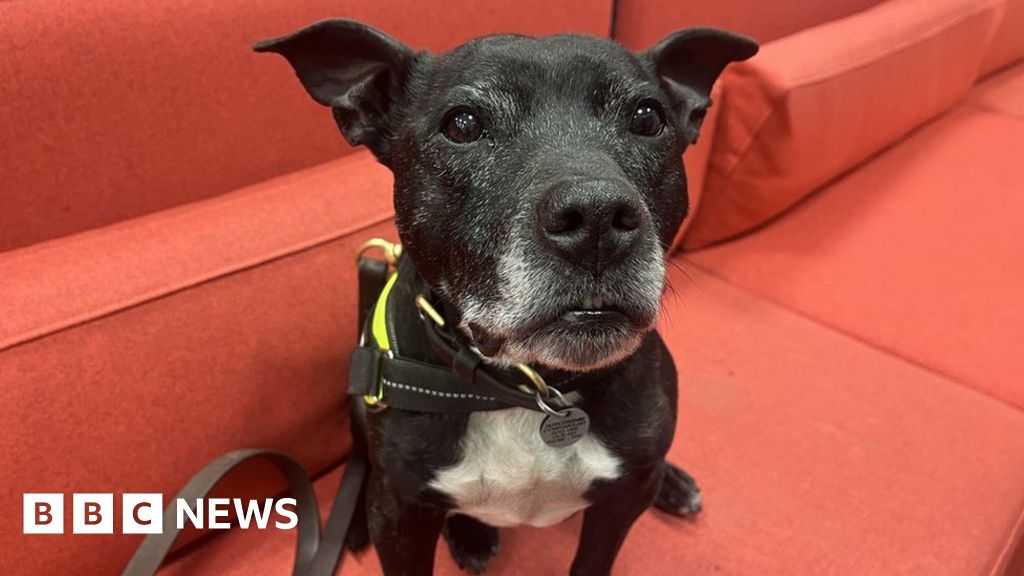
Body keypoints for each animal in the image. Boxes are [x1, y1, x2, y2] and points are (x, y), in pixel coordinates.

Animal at [253, 21, 753, 573]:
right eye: (463, 125)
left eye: (648, 119)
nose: (596, 217)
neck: (530, 389)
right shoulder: (399, 515)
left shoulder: (621, 503)